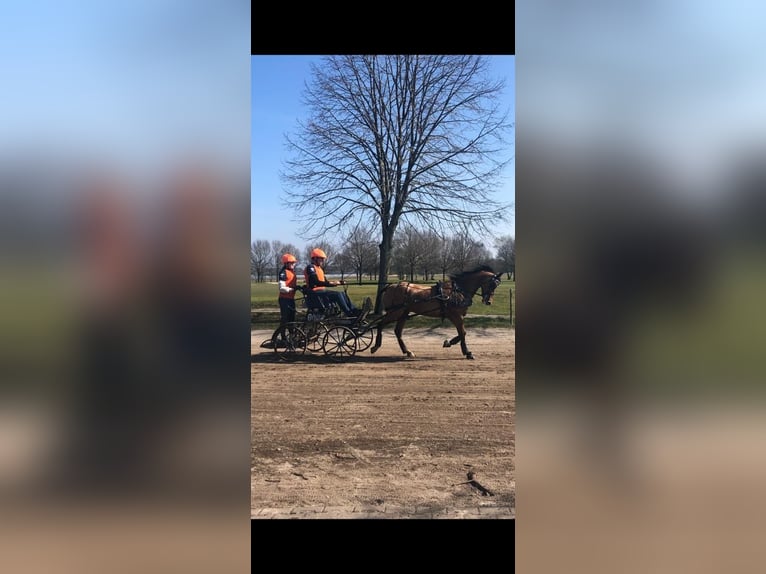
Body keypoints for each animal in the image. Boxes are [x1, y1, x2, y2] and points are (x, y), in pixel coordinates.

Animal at [370, 266, 504, 360]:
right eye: (492, 284)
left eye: (496, 285)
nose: (488, 301)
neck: (457, 290)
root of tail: (391, 286)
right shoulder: (455, 315)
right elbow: (462, 332)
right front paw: (467, 352)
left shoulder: (457, 316)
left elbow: (462, 333)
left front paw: (449, 343)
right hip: (395, 312)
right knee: (381, 325)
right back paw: (375, 346)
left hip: (404, 313)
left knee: (397, 331)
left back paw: (407, 351)